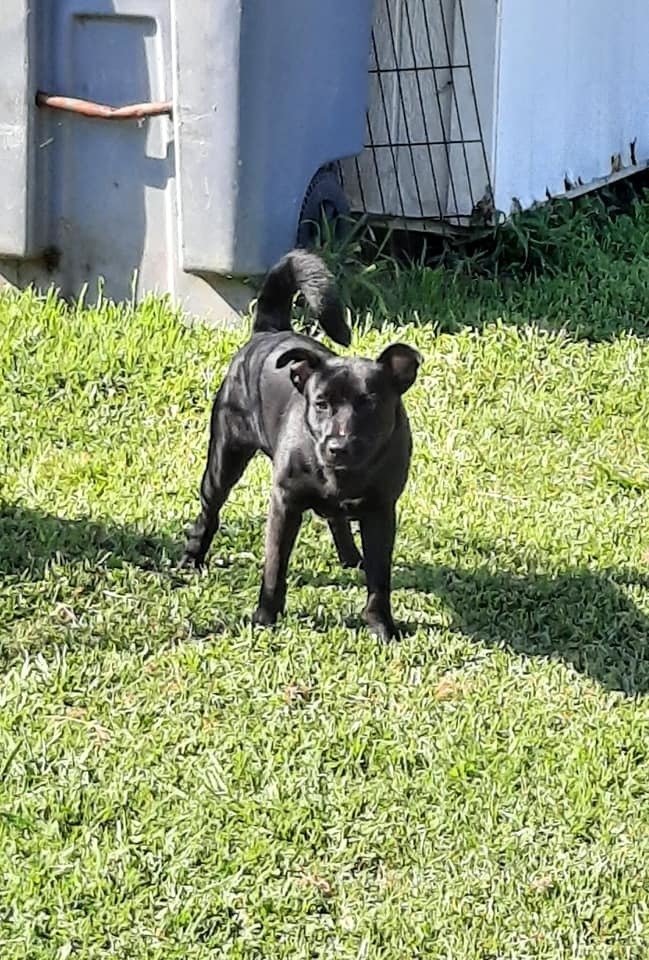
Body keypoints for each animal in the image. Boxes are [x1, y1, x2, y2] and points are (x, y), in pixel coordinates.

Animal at [180, 249, 420, 636]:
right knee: (209, 512)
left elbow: (379, 579)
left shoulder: (382, 511)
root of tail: (269, 331)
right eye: (320, 403)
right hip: (224, 459)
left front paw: (382, 626)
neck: (342, 474)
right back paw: (192, 556)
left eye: (369, 403)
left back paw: (351, 557)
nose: (337, 447)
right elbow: (275, 568)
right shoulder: (284, 504)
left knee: (338, 521)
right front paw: (265, 618)